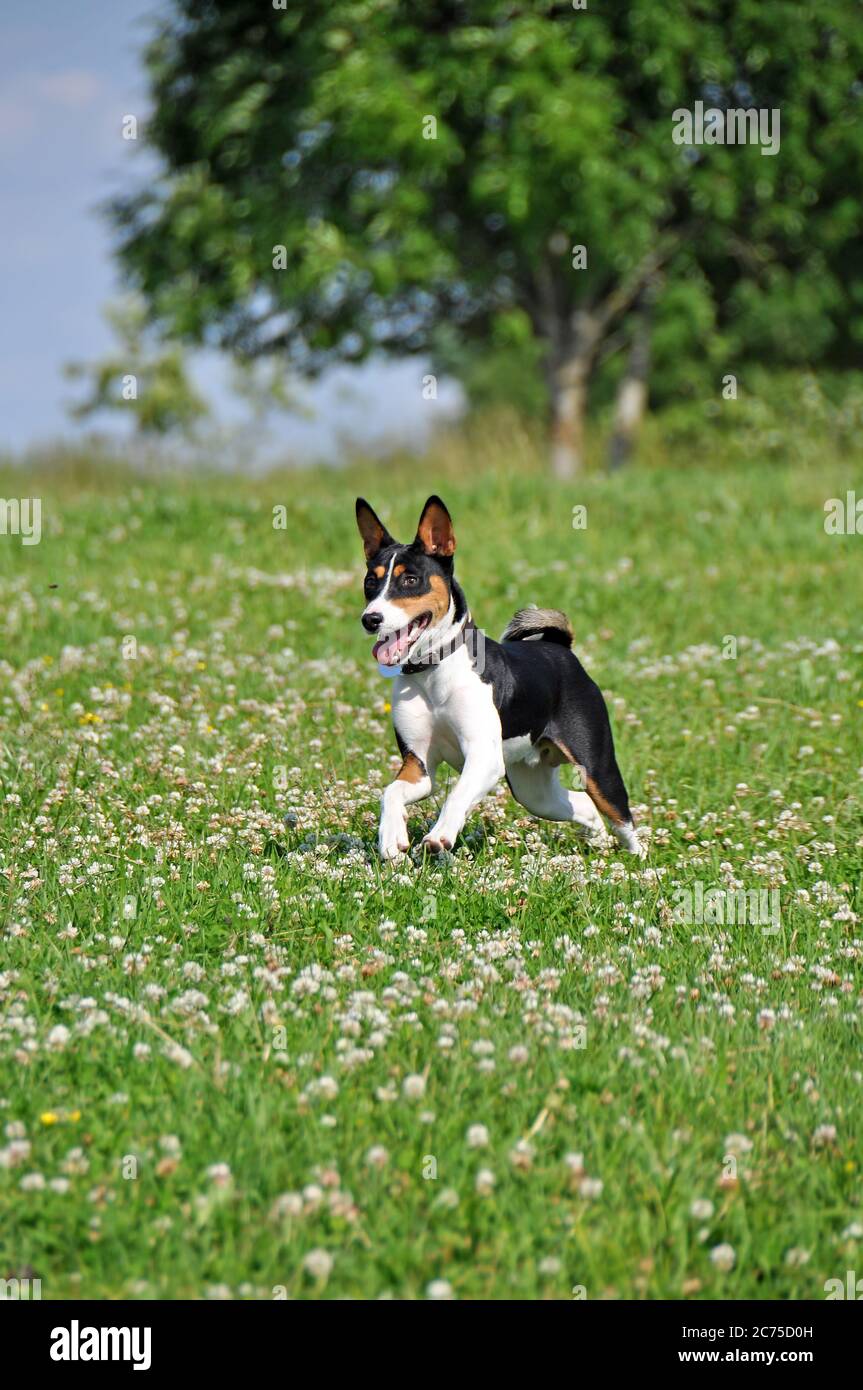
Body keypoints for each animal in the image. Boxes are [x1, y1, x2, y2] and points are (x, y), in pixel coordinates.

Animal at [352, 489, 642, 856]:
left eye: (410, 580)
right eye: (370, 582)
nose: (370, 619)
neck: (433, 671)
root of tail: (560, 649)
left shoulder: (483, 757)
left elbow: (457, 796)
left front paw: (440, 836)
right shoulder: (419, 765)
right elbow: (390, 793)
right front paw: (392, 838)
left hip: (597, 769)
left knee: (621, 818)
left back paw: (637, 860)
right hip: (534, 791)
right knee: (584, 806)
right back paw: (599, 842)